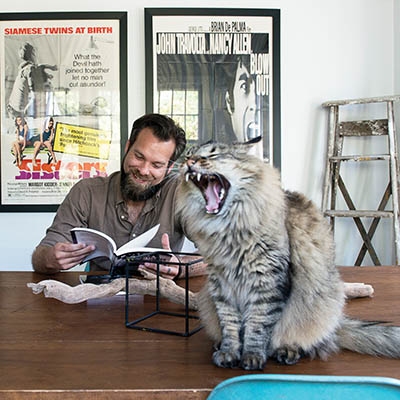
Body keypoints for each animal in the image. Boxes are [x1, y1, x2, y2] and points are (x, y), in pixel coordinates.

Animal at [177, 139, 400, 370]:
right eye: (189, 155)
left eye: (212, 156)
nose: (188, 162)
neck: (228, 231)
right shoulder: (221, 286)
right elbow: (230, 325)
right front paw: (229, 352)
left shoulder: (267, 283)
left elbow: (257, 327)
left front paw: (252, 356)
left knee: (311, 341)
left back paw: (288, 351)